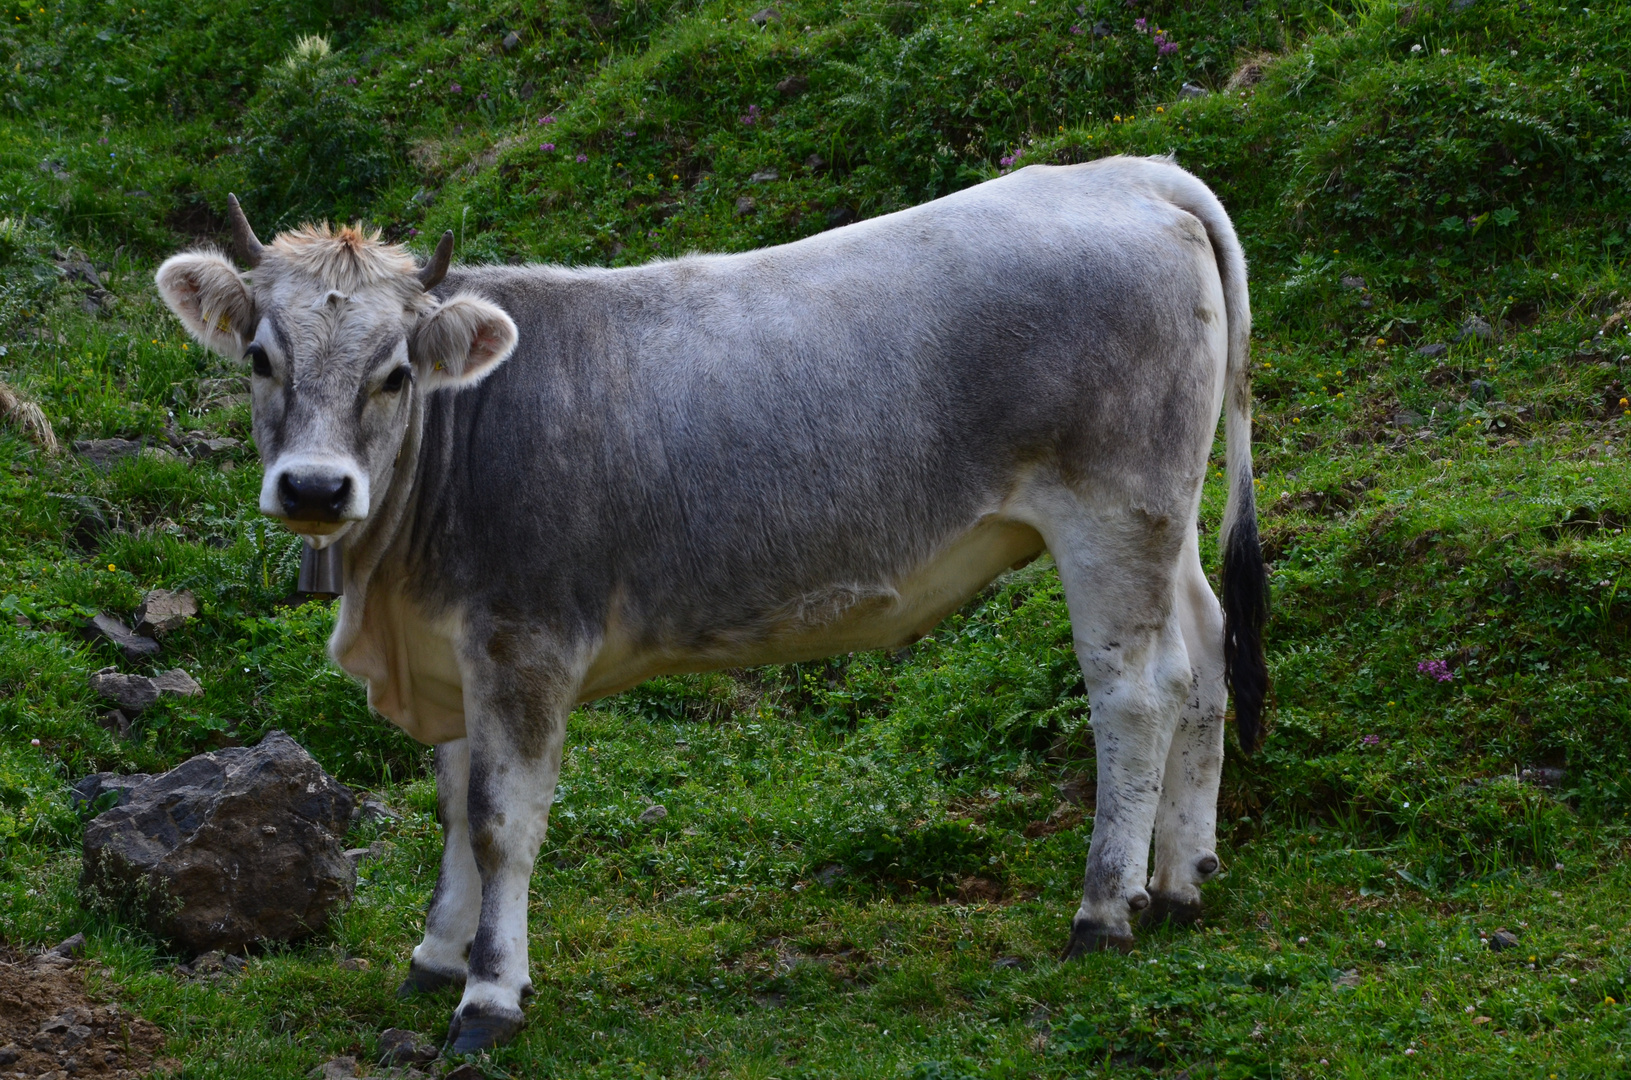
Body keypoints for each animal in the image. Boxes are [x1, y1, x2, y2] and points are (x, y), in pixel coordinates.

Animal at [155, 156, 1272, 1050]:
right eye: (260, 357)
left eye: (394, 374)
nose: (314, 489)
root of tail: (1129, 173)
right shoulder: (451, 646)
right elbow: (452, 804)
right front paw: (435, 955)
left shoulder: (524, 640)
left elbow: (500, 820)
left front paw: (489, 996)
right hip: (1161, 517)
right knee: (1206, 655)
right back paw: (1180, 880)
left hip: (1109, 509)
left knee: (1136, 691)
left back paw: (1103, 910)